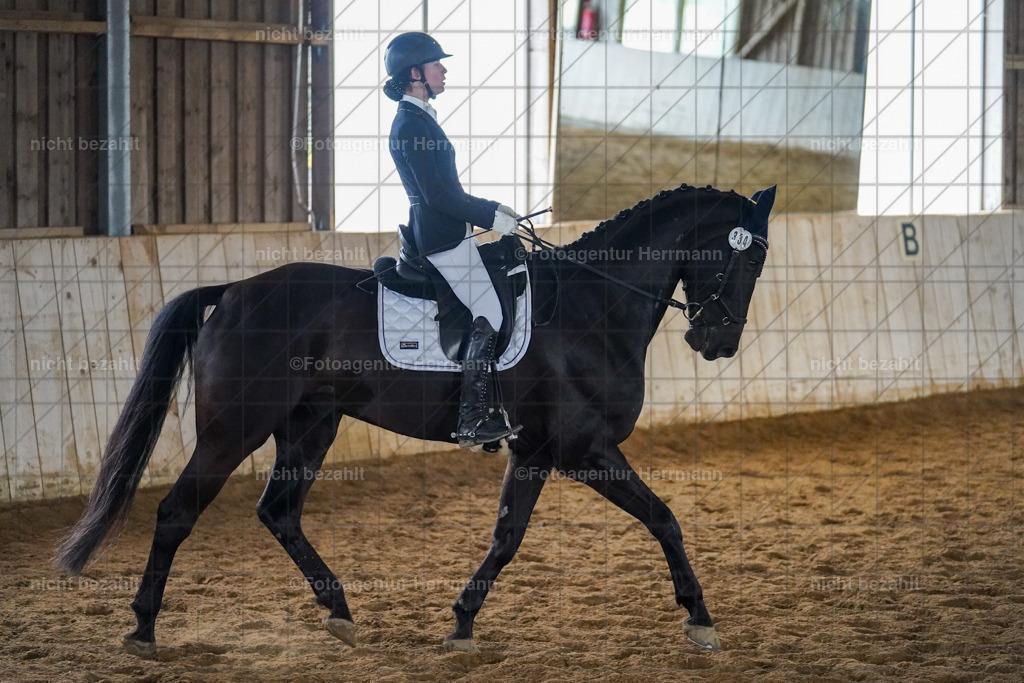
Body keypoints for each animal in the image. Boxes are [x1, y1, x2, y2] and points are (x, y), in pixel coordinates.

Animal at [54, 182, 775, 657]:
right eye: (745, 256)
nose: (717, 342)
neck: (592, 306)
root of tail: (231, 292)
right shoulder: (583, 449)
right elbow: (664, 518)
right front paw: (700, 618)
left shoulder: (536, 451)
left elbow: (507, 537)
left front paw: (461, 620)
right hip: (234, 429)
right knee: (178, 512)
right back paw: (143, 628)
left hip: (310, 424)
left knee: (279, 511)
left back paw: (340, 610)